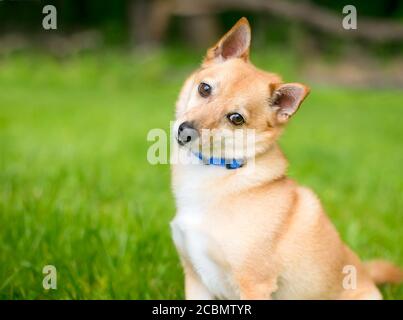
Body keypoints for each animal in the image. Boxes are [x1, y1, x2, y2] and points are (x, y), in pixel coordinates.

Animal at [170, 16, 400, 298]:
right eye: (204, 89)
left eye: (236, 118)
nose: (185, 131)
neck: (219, 170)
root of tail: (366, 273)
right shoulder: (196, 280)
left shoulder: (254, 285)